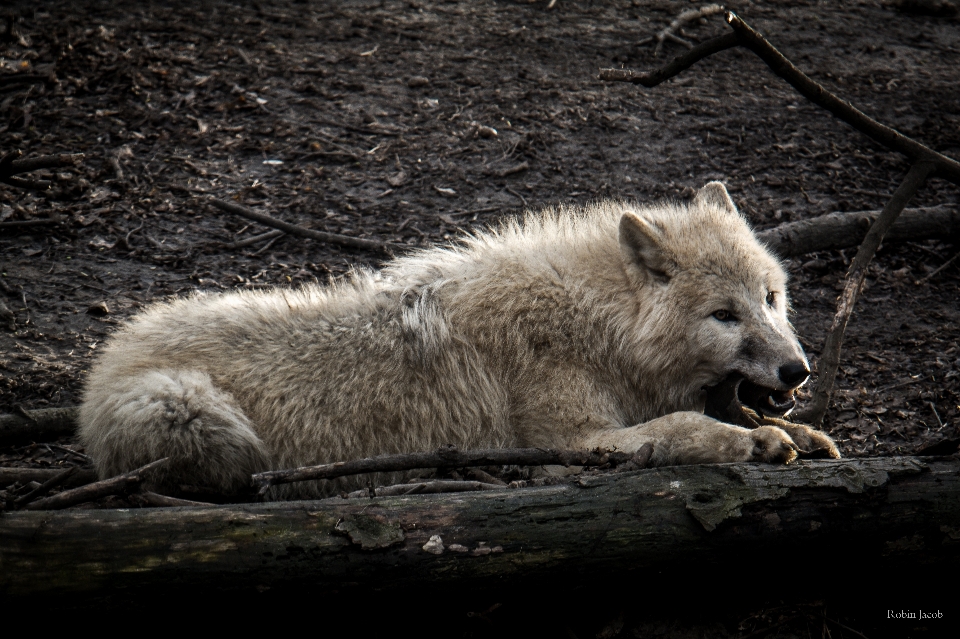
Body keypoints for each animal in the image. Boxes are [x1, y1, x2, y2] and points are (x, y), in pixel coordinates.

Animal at [79, 182, 836, 498]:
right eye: (724, 315)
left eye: (770, 299)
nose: (796, 371)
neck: (598, 324)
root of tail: (99, 367)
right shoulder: (572, 444)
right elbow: (684, 426)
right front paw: (758, 444)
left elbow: (725, 413)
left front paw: (802, 433)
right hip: (192, 410)